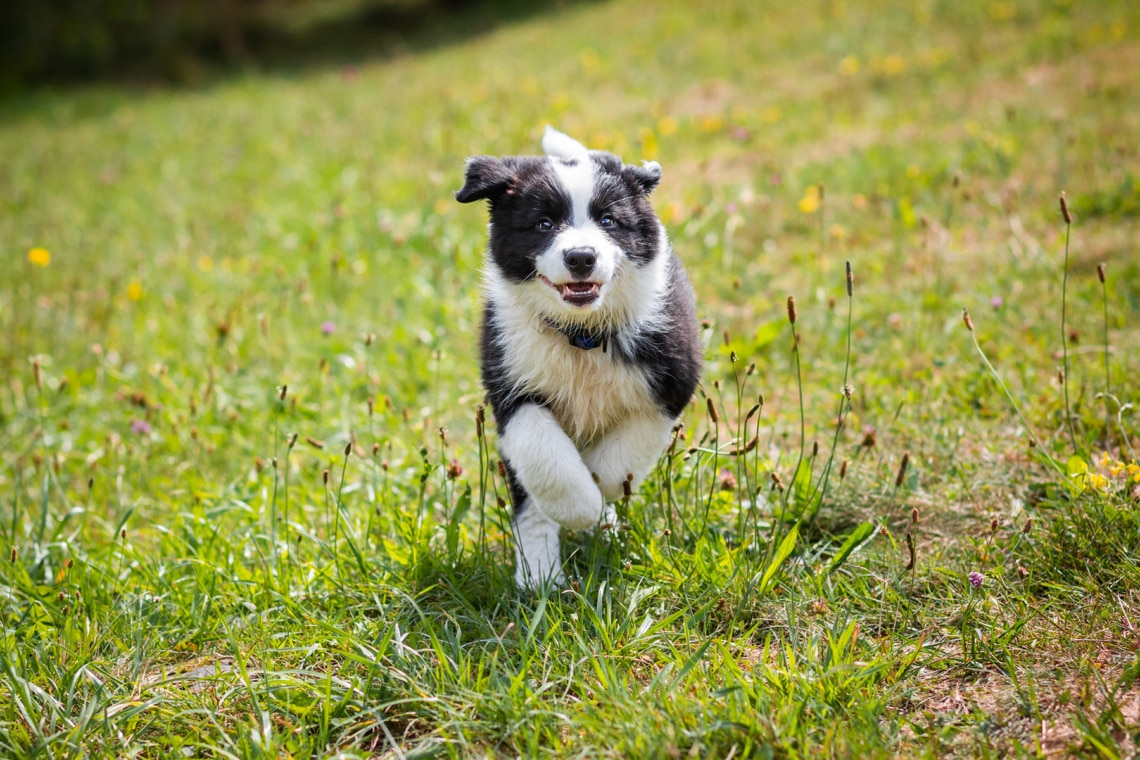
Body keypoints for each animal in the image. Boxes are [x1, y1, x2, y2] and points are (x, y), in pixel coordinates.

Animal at [458, 127, 697, 587]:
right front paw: (579, 507)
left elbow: (620, 458)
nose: (581, 257)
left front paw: (597, 497)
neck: (580, 335)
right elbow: (542, 454)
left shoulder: (672, 378)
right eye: (544, 224)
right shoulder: (509, 378)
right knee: (529, 496)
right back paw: (539, 578)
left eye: (609, 222)